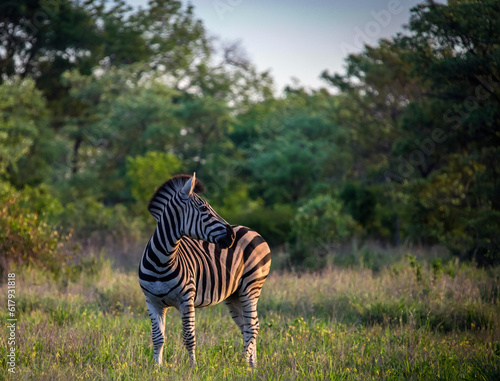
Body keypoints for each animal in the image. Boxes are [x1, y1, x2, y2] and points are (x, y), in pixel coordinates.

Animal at [139, 172, 272, 366]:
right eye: (203, 209)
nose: (232, 236)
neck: (161, 261)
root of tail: (253, 231)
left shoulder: (186, 300)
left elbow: (189, 337)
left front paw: (192, 367)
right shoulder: (152, 302)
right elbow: (158, 338)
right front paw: (157, 367)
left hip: (251, 286)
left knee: (252, 326)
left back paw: (242, 362)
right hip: (235, 294)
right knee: (248, 325)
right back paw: (251, 366)